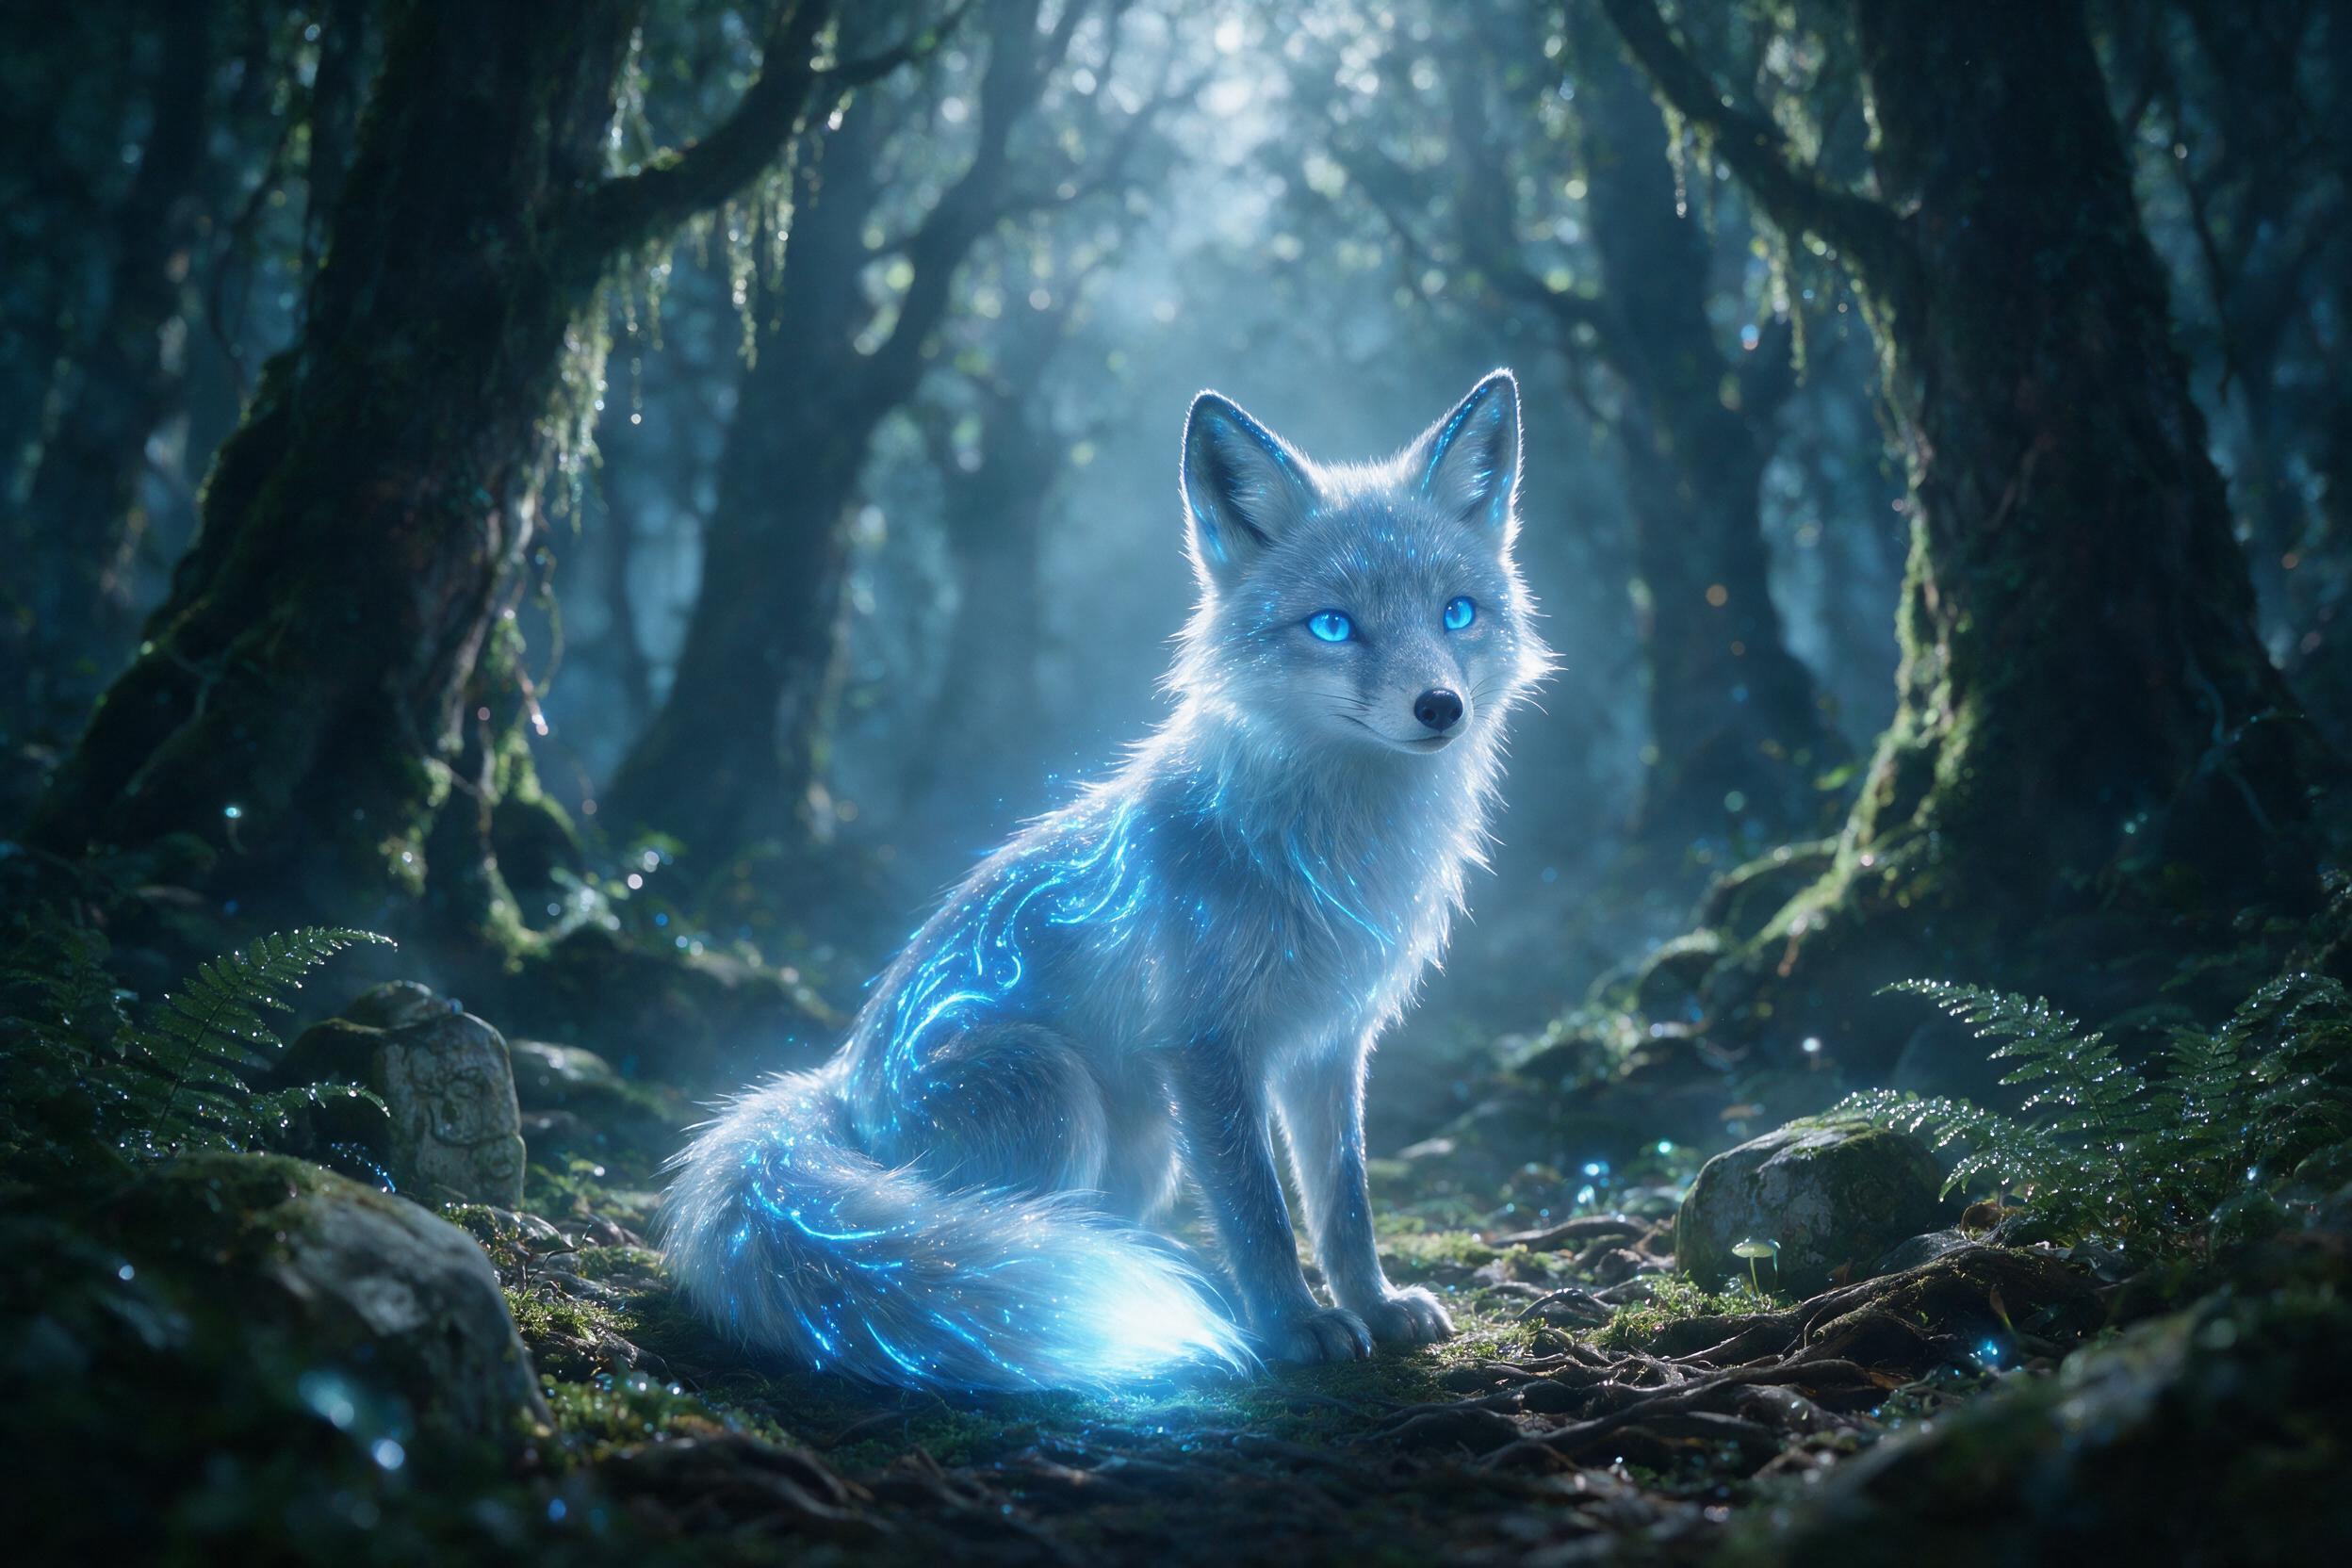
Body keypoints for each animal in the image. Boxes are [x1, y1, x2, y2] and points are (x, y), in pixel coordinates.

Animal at [661, 370, 1550, 1392]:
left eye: (1457, 612)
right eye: (1334, 625)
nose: (1441, 706)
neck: (1333, 848)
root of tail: (841, 1085)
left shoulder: (1330, 1043)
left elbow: (1345, 1205)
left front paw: (1371, 1301)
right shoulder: (1204, 1043)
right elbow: (1258, 1211)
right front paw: (1290, 1322)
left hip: (1147, 1141)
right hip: (1053, 1088)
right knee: (1002, 1251)